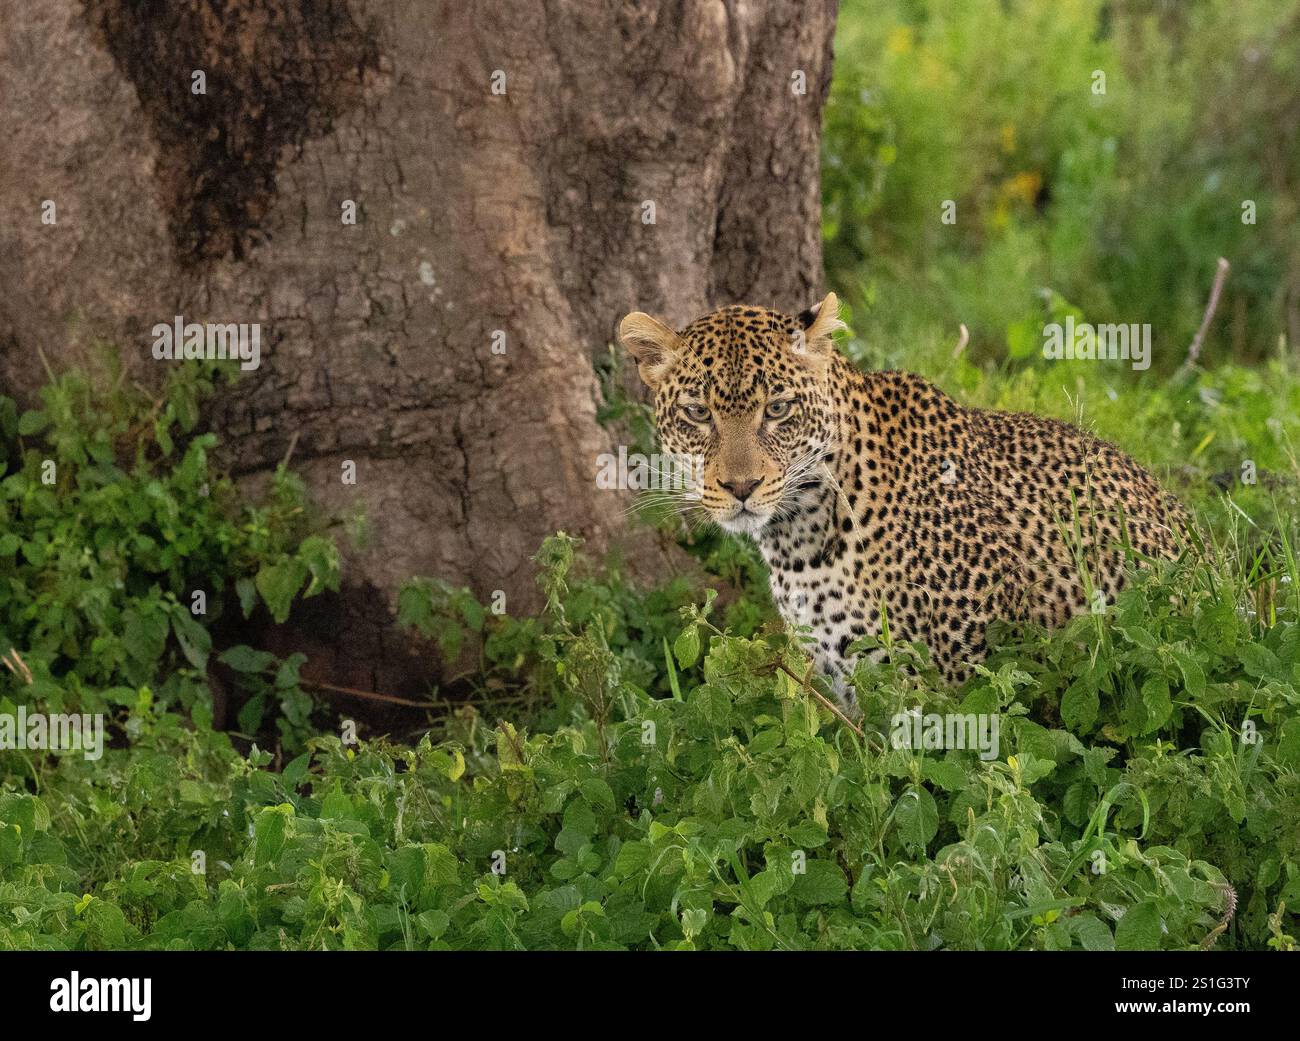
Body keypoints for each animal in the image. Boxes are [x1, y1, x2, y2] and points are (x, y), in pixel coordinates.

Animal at [619, 293, 1190, 704]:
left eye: (778, 409)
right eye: (698, 413)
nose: (741, 487)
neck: (802, 540)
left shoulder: (951, 678)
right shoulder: (839, 677)